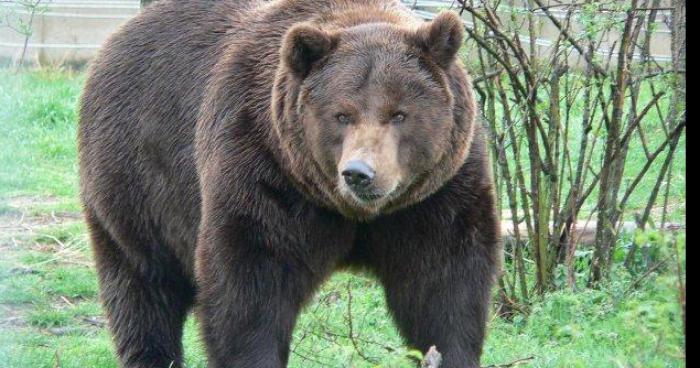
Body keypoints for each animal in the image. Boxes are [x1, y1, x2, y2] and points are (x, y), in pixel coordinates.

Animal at [79, 0, 500, 368]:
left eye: (398, 113)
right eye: (342, 114)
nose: (359, 173)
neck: (351, 211)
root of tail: (118, 37)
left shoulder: (436, 196)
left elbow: (443, 286)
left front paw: (447, 352)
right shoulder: (265, 175)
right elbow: (248, 289)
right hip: (135, 182)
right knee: (143, 286)